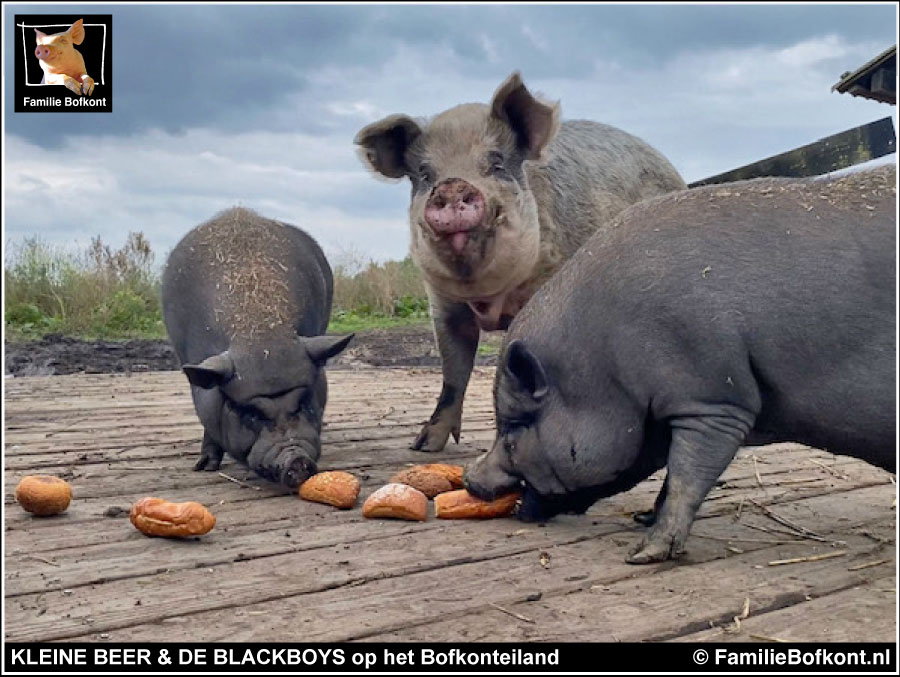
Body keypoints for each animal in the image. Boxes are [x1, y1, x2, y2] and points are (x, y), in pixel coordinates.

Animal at [356, 72, 684, 448]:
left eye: (496, 162)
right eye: (424, 174)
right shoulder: (443, 306)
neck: (485, 299)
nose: (452, 185)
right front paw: (423, 446)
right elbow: (453, 377)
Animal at [468, 166, 896, 564]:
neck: (608, 364)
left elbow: (686, 476)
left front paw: (644, 553)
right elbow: (671, 475)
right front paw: (643, 518)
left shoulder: (713, 398)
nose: (471, 479)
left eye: (514, 429)